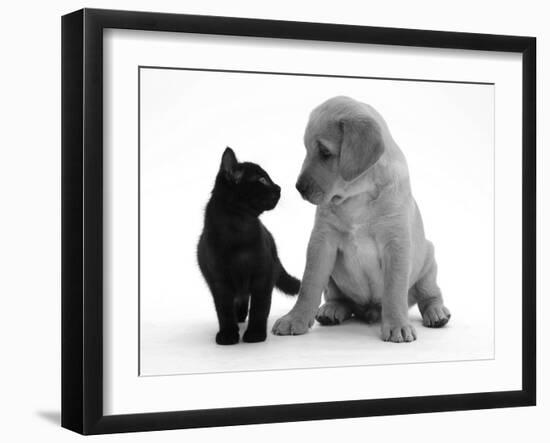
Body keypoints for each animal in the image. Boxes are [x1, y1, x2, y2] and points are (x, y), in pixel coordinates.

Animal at [198, 147, 302, 346]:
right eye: (261, 180)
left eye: (268, 178)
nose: (279, 187)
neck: (239, 228)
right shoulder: (219, 281)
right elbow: (223, 310)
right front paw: (228, 335)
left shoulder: (263, 276)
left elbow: (260, 308)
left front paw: (255, 334)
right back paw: (238, 318)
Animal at [274, 95, 450, 342]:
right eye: (307, 150)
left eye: (325, 153)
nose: (299, 187)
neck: (358, 196)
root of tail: (369, 309)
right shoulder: (322, 241)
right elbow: (309, 284)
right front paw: (294, 318)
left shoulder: (396, 243)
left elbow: (394, 290)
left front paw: (397, 324)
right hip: (334, 281)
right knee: (339, 298)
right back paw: (332, 310)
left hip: (428, 261)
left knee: (429, 294)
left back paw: (436, 312)